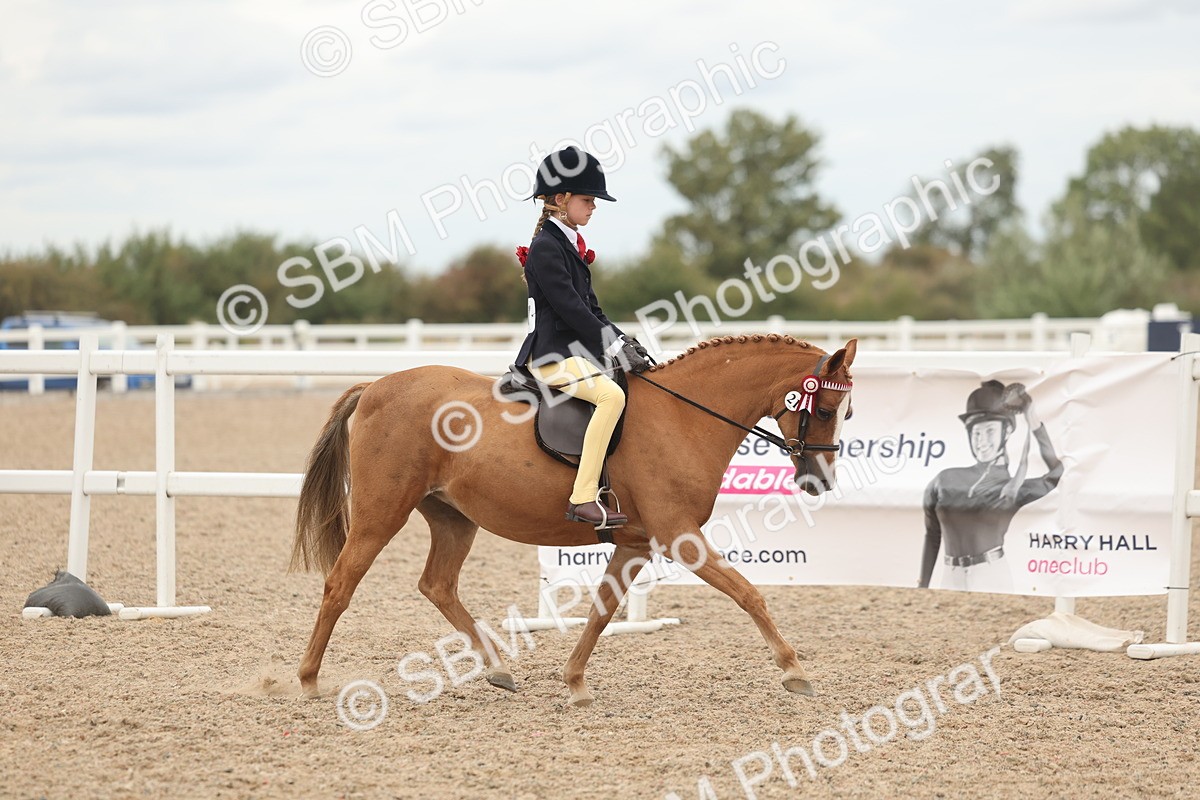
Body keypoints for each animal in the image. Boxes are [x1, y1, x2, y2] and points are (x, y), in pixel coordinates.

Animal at [291, 333, 857, 706]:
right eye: (827, 409)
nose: (820, 482)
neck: (685, 418)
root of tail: (375, 386)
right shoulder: (680, 536)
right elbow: (749, 594)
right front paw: (796, 671)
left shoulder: (636, 542)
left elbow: (602, 611)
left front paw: (575, 682)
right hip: (381, 512)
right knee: (341, 583)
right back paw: (309, 678)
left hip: (453, 518)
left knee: (437, 585)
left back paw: (498, 668)